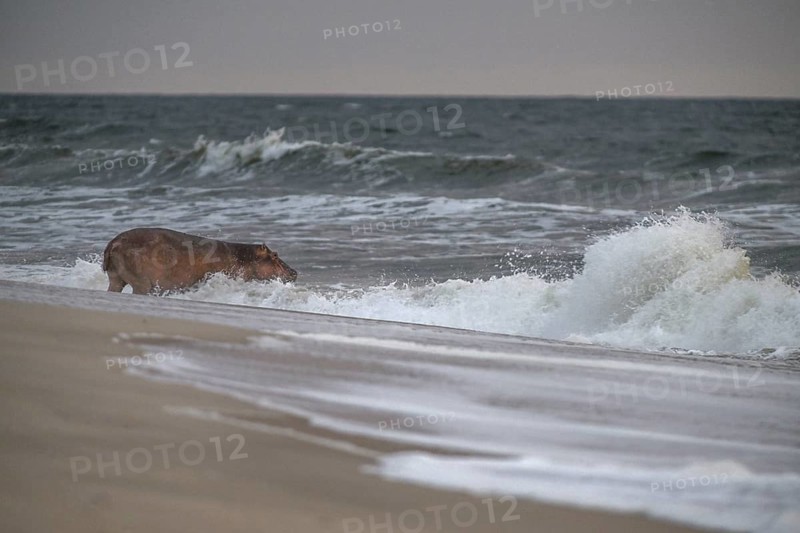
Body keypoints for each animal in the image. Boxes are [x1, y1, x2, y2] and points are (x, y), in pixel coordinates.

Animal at [102, 228, 297, 295]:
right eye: (275, 255)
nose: (294, 271)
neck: (244, 257)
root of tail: (113, 243)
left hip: (116, 278)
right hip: (141, 282)